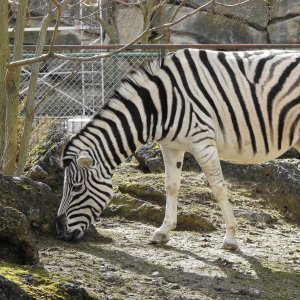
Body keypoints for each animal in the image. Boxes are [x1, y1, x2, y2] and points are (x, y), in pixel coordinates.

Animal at [56, 49, 300, 251]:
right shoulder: (171, 146)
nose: (61, 232)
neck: (156, 107)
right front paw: (163, 231)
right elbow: (171, 186)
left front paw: (230, 238)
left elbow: (218, 188)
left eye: (76, 188)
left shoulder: (202, 142)